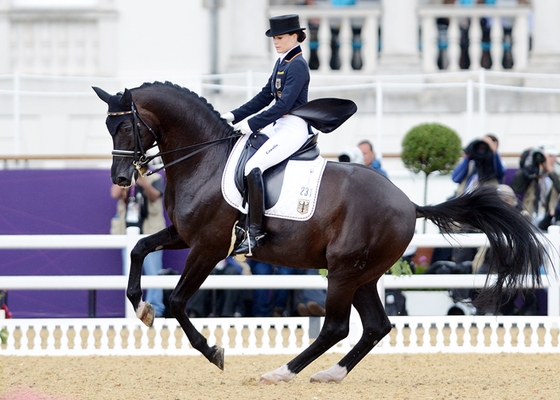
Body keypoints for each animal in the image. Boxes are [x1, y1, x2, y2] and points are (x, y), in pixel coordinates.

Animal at [93, 82, 548, 384]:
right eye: (108, 127)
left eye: (126, 127)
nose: (120, 179)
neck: (204, 157)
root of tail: (408, 203)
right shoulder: (184, 235)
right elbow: (138, 248)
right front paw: (140, 306)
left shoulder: (208, 246)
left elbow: (177, 300)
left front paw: (213, 350)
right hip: (363, 274)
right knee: (376, 326)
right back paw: (331, 373)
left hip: (343, 270)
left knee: (336, 327)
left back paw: (281, 371)